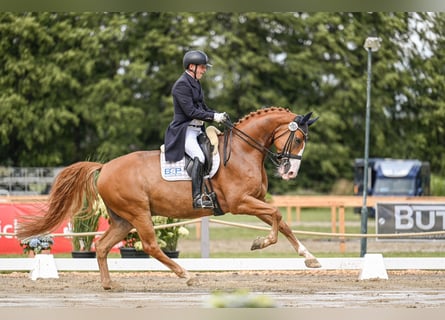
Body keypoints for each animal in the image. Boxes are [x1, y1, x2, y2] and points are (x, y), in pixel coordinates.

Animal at [17, 107, 320, 290]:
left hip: (123, 220)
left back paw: (109, 285)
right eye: (298, 140)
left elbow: (282, 222)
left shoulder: (255, 201)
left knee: (102, 246)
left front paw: (310, 258)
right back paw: (186, 274)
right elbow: (278, 216)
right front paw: (260, 243)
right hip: (138, 213)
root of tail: (105, 167)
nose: (290, 172)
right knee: (151, 246)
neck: (244, 151)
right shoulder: (240, 202)